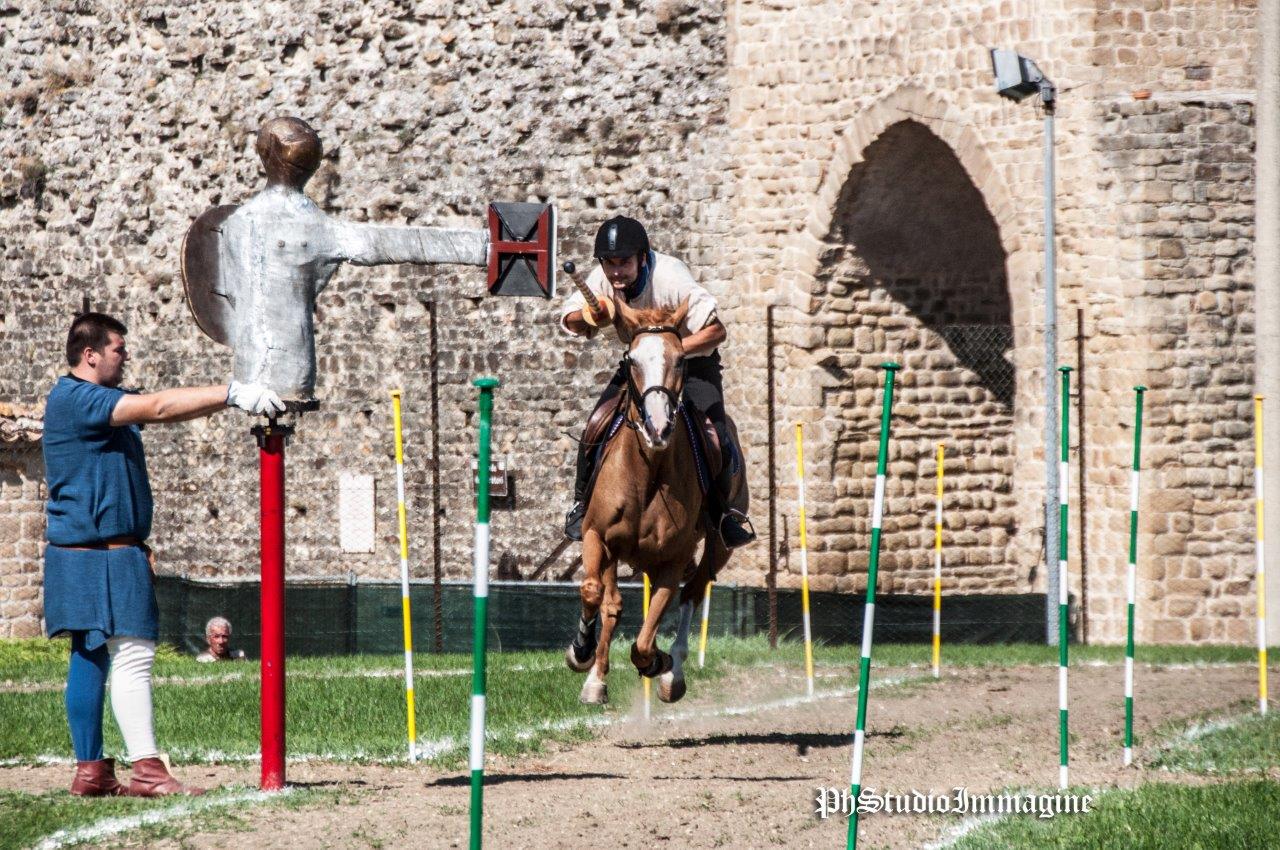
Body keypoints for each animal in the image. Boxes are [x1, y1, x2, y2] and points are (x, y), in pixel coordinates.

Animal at [560, 295, 742, 706]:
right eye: (631, 360)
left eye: (681, 360)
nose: (658, 427)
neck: (648, 471)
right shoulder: (598, 537)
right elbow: (597, 593)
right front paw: (583, 657)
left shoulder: (673, 559)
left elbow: (645, 639)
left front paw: (656, 661)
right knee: (615, 602)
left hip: (718, 547)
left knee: (693, 593)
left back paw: (672, 671)